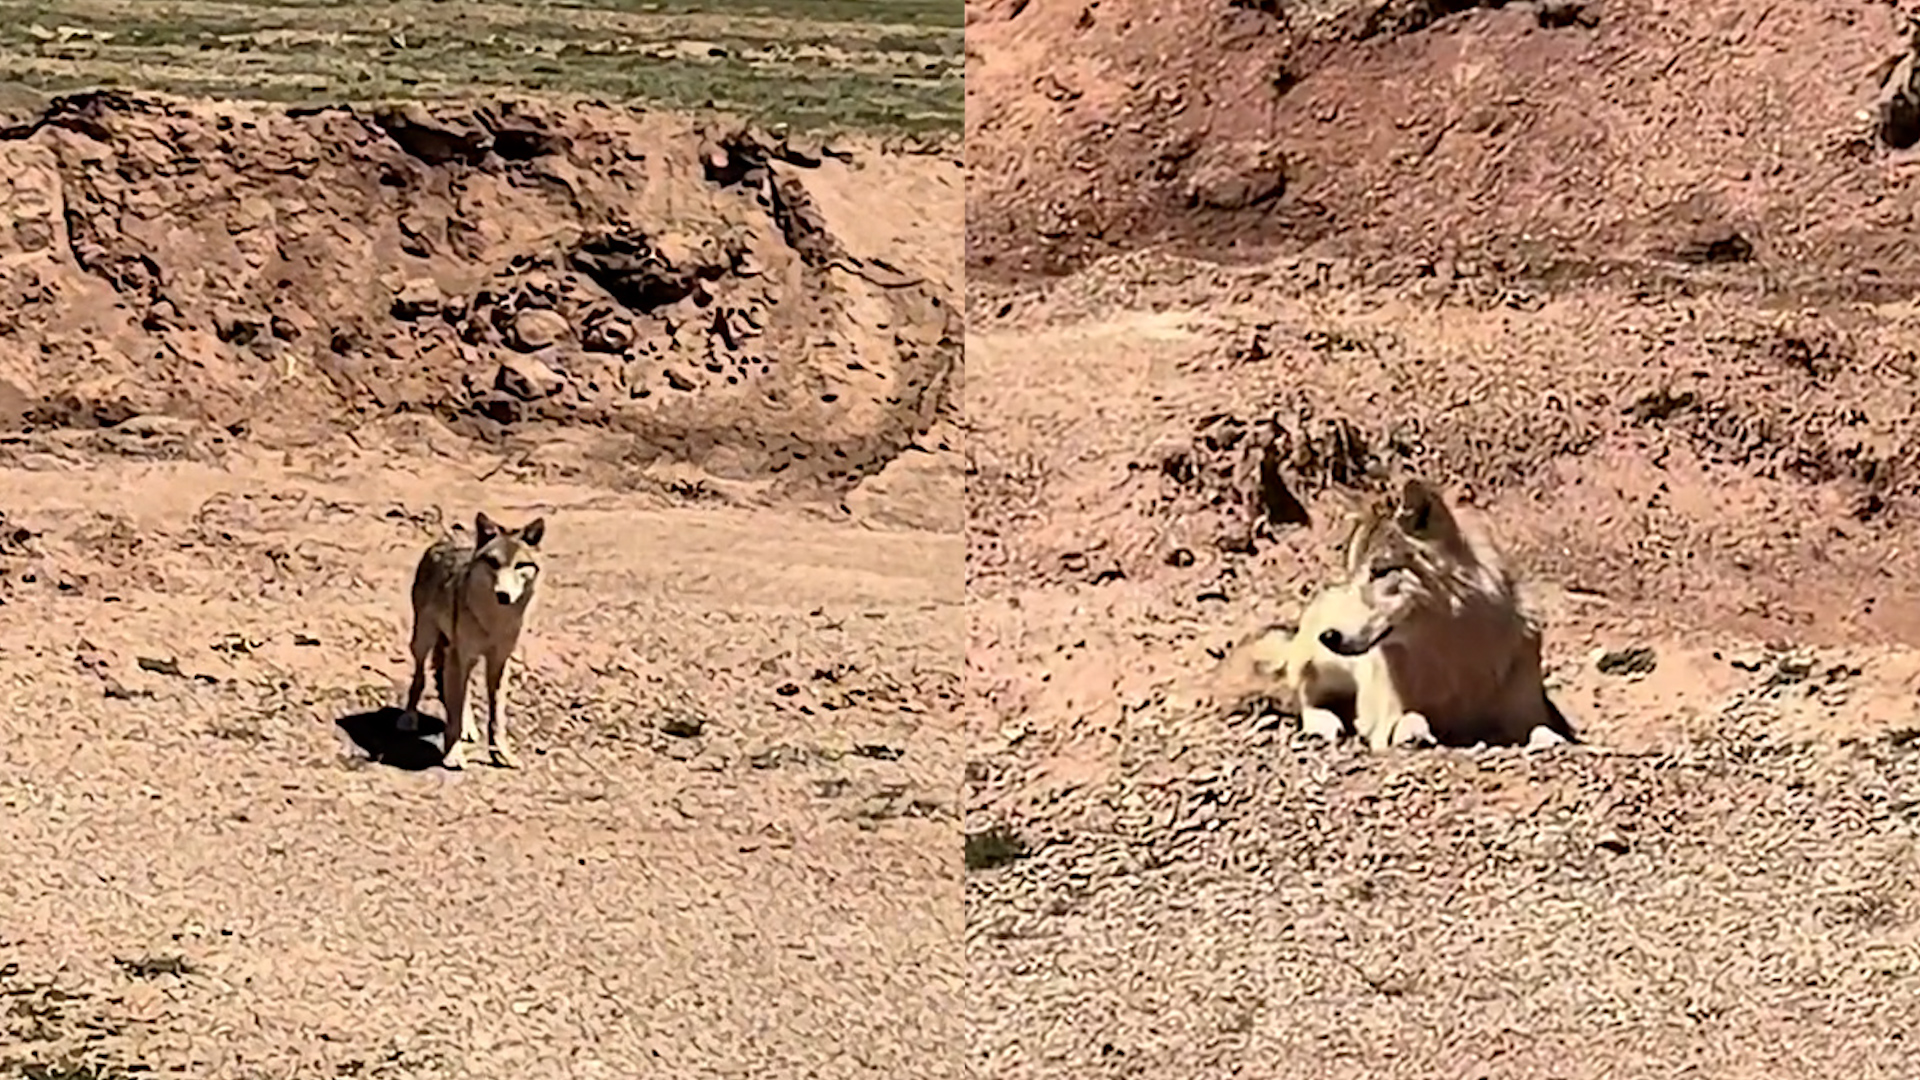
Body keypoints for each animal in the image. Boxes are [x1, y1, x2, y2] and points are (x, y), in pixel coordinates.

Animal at [397, 511, 549, 764]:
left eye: (520, 565)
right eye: (494, 563)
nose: (503, 595)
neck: (494, 620)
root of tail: (444, 541)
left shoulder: (498, 662)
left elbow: (496, 717)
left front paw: (502, 755)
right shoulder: (460, 655)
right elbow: (454, 713)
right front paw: (453, 755)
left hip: (463, 657)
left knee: (461, 692)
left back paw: (469, 728)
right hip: (424, 641)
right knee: (420, 678)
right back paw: (409, 718)